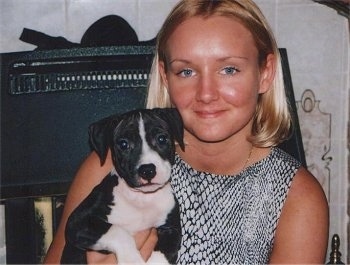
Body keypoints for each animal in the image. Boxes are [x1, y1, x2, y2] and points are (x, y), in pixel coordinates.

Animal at [60, 108, 185, 264]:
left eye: (162, 139)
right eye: (124, 144)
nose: (147, 170)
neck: (142, 199)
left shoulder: (171, 229)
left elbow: (164, 253)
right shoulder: (77, 222)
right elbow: (118, 232)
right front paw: (132, 260)